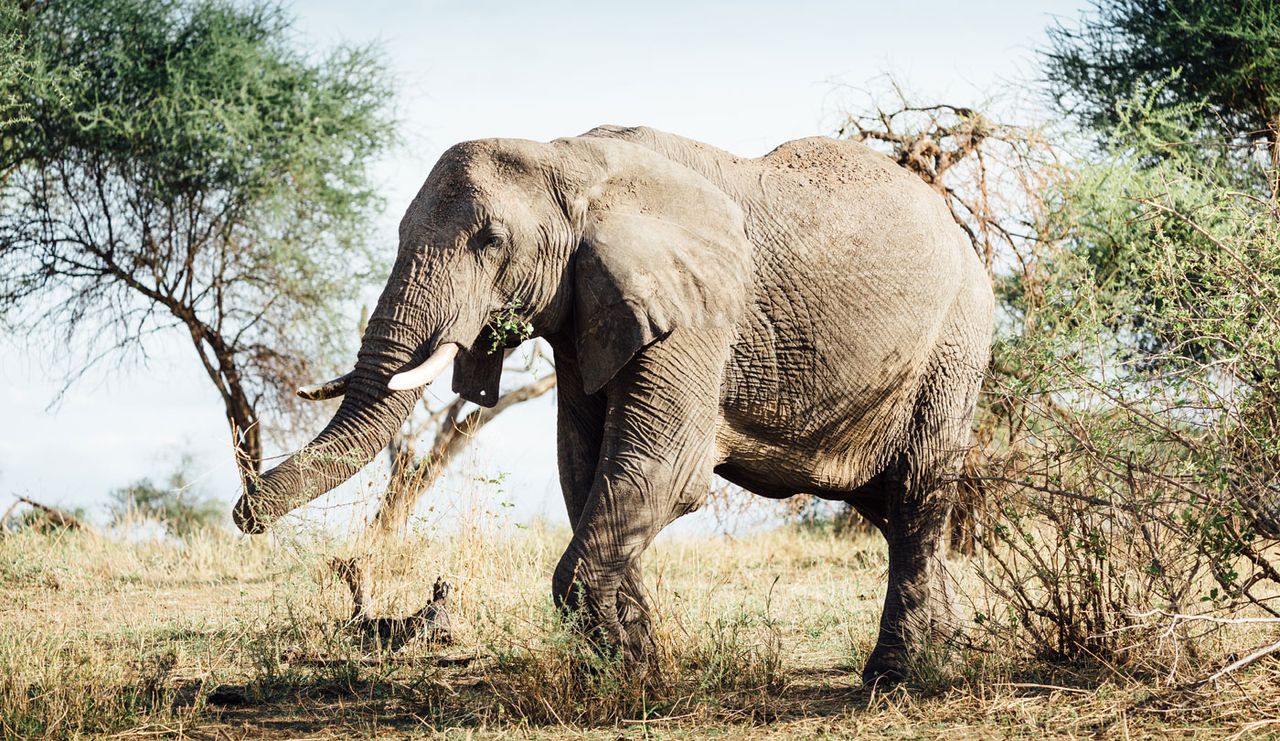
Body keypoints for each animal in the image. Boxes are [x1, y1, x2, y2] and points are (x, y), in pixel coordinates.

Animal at [232, 124, 994, 684]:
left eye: (490, 240)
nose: (245, 514)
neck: (568, 160)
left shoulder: (696, 308)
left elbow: (664, 471)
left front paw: (632, 672)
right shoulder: (583, 311)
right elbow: (584, 466)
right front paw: (641, 661)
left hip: (957, 338)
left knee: (918, 492)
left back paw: (896, 676)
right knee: (888, 506)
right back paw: (947, 651)